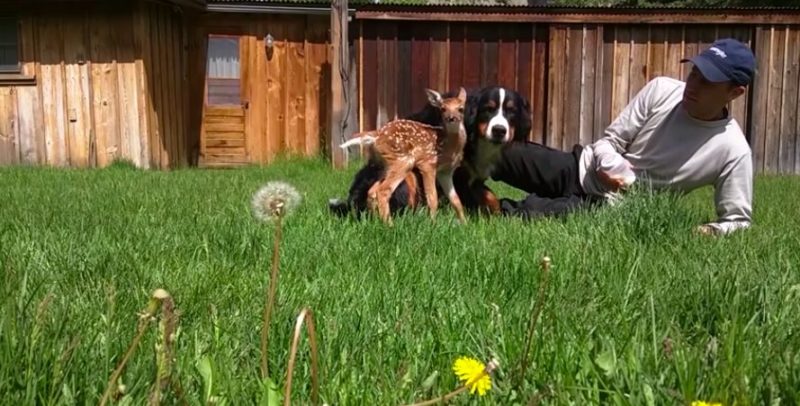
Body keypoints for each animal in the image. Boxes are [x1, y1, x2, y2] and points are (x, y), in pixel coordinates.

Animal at [328, 86, 528, 219]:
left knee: (375, 192)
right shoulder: (432, 168)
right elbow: (435, 198)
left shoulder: (456, 175)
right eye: (487, 109)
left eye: (512, 111)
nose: (499, 130)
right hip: (406, 168)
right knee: (387, 193)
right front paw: (435, 221)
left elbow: (476, 199)